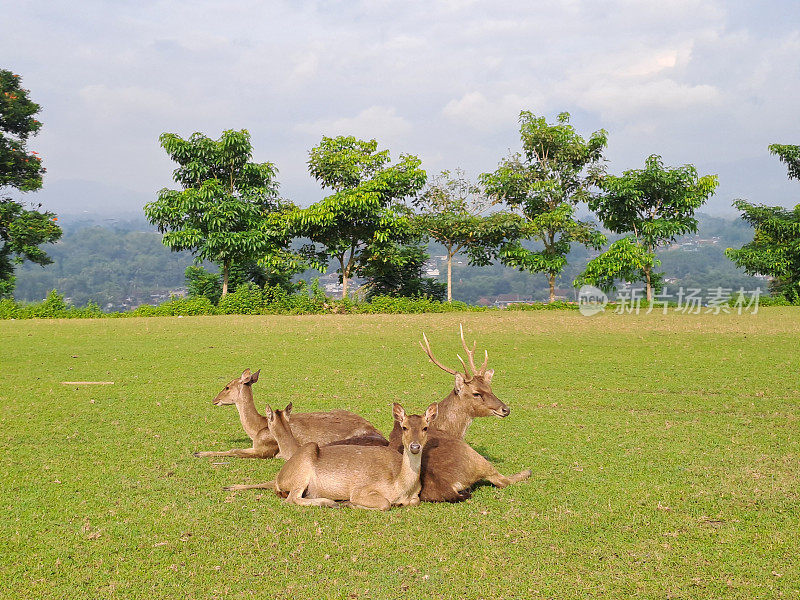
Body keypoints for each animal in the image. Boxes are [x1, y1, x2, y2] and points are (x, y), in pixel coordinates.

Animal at [191, 366, 384, 460]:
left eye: (227, 387)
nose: (214, 399)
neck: (256, 429)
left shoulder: (267, 449)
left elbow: (235, 451)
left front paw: (199, 453)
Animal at [225, 400, 438, 508]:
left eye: (425, 427)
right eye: (404, 427)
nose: (415, 446)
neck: (401, 485)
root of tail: (278, 478)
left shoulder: (415, 497)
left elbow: (415, 501)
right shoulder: (362, 488)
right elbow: (385, 503)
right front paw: (350, 504)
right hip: (304, 465)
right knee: (291, 498)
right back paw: (329, 502)